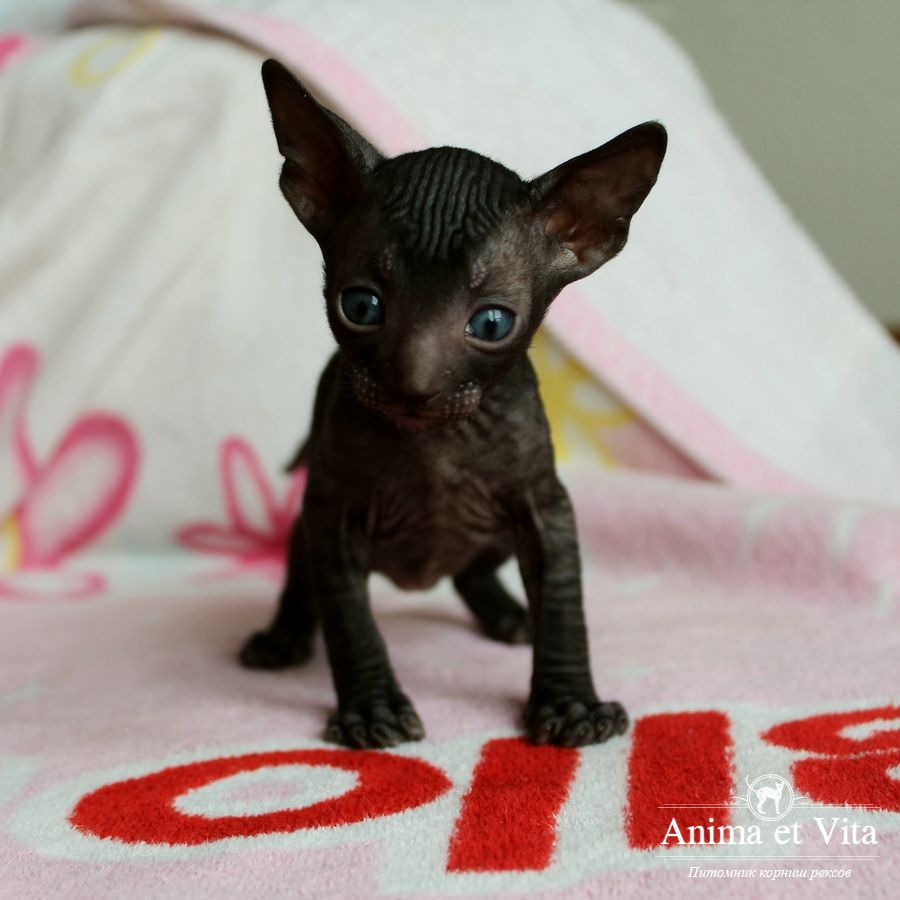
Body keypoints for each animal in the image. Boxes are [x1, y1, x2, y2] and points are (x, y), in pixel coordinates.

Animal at [240, 59, 666, 749]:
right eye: (361, 306)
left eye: (492, 323)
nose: (413, 385)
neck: (436, 442)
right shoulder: (330, 515)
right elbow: (349, 618)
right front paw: (373, 708)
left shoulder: (546, 507)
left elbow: (564, 603)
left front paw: (571, 703)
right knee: (302, 574)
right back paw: (283, 637)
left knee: (474, 567)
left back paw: (508, 615)